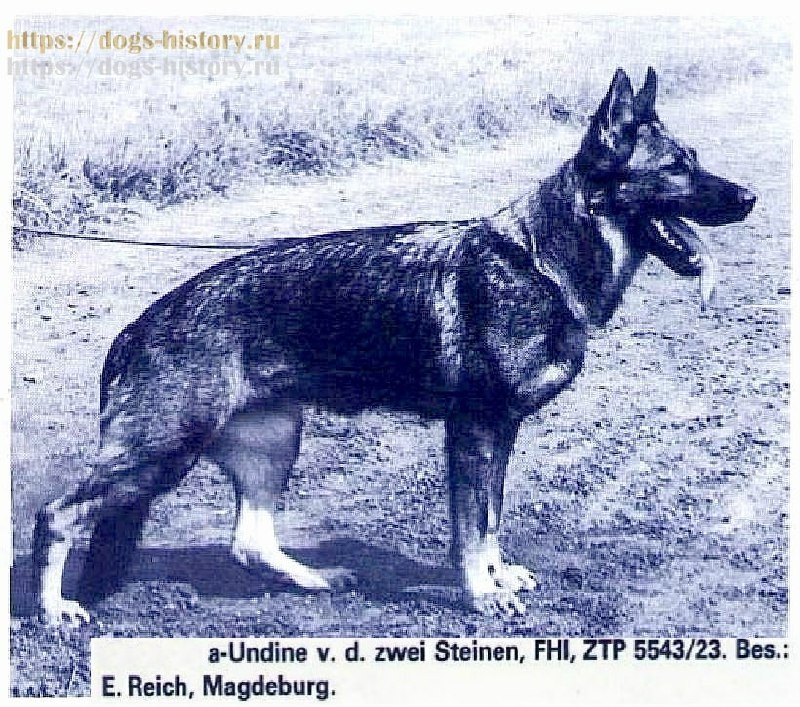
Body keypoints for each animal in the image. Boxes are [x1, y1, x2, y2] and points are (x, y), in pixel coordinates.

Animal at [34, 67, 756, 622]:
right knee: (56, 515)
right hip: (162, 453)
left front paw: (499, 576)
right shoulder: (474, 432)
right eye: (677, 168)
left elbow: (492, 517)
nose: (749, 197)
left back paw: (318, 581)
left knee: (249, 539)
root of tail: (138, 325)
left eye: (694, 160)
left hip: (272, 442)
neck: (541, 262)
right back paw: (53, 610)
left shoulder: (499, 435)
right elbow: (471, 528)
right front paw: (482, 595)